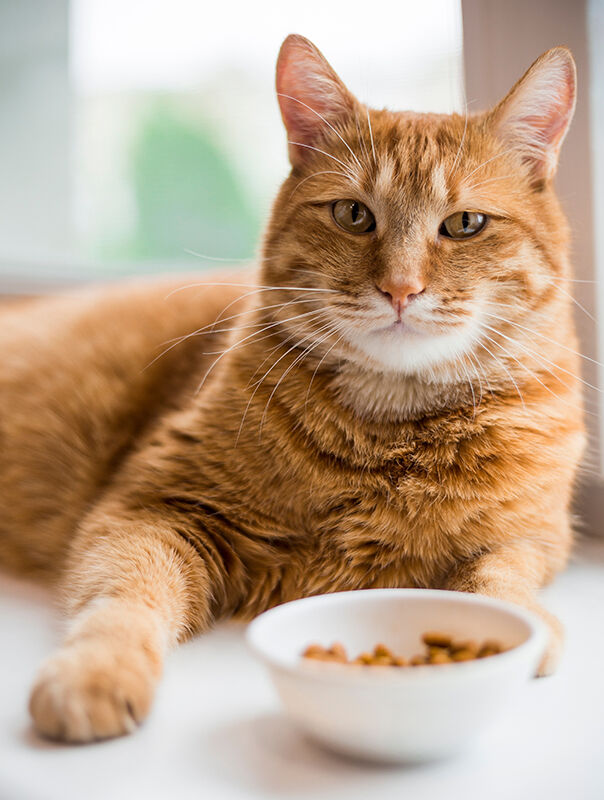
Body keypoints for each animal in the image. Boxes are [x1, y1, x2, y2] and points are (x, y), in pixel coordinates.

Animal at [0, 34, 584, 740]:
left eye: (466, 224)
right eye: (353, 214)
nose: (400, 289)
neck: (389, 435)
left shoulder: (537, 536)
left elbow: (499, 573)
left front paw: (524, 625)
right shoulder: (150, 509)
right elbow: (124, 600)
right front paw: (95, 672)